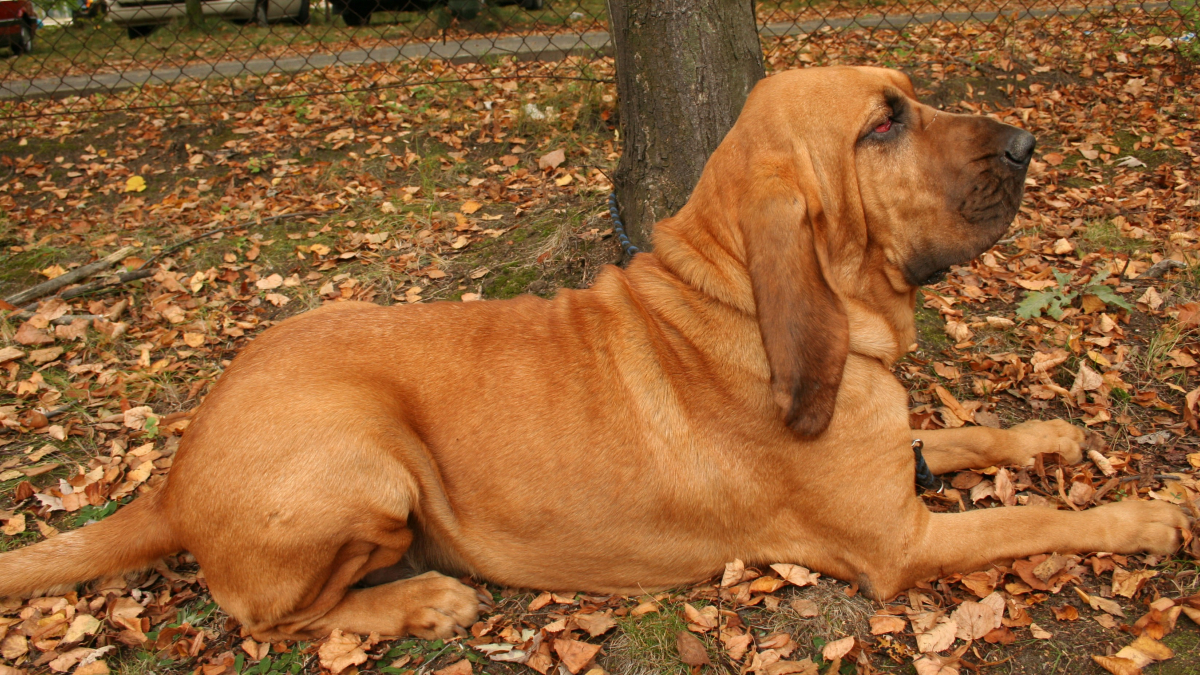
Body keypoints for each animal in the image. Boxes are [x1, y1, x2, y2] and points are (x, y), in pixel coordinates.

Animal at [0, 65, 1185, 638]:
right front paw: (1149, 516)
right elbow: (1039, 521)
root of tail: (174, 477)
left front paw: (1048, 430)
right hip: (367, 462)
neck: (741, 300)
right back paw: (419, 601)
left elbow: (971, 433)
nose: (1029, 143)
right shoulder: (900, 543)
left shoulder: (901, 464)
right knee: (263, 620)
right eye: (881, 125)